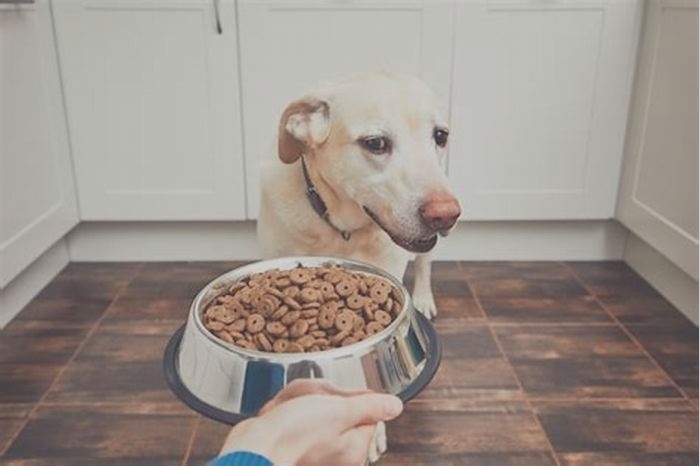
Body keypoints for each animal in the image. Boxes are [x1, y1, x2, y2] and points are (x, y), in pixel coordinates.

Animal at [256, 73, 460, 462]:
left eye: (440, 136)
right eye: (376, 143)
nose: (446, 214)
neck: (340, 228)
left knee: (425, 265)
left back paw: (424, 297)